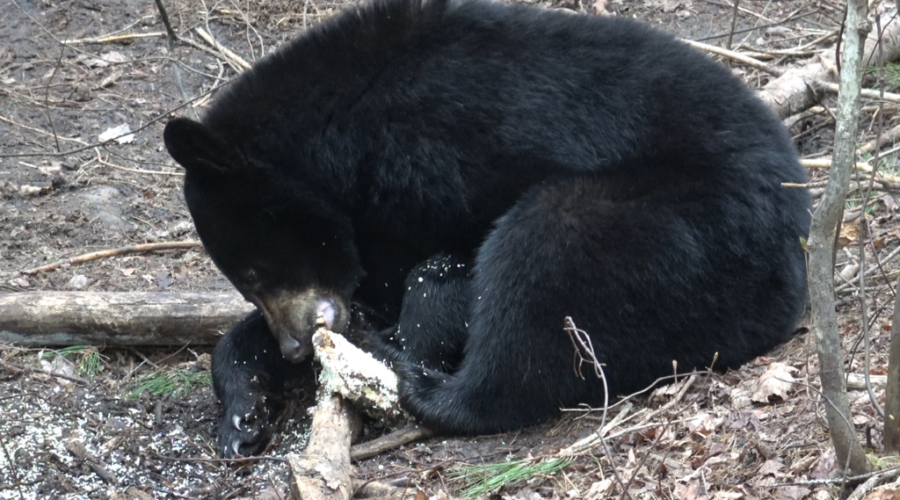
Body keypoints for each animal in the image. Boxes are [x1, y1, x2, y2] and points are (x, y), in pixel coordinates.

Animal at [163, 0, 811, 457]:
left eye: (253, 270)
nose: (296, 348)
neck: (341, 144)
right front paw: (243, 413)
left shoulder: (425, 169)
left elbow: (424, 278)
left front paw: (389, 339)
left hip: (684, 228)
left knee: (541, 267)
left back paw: (417, 380)